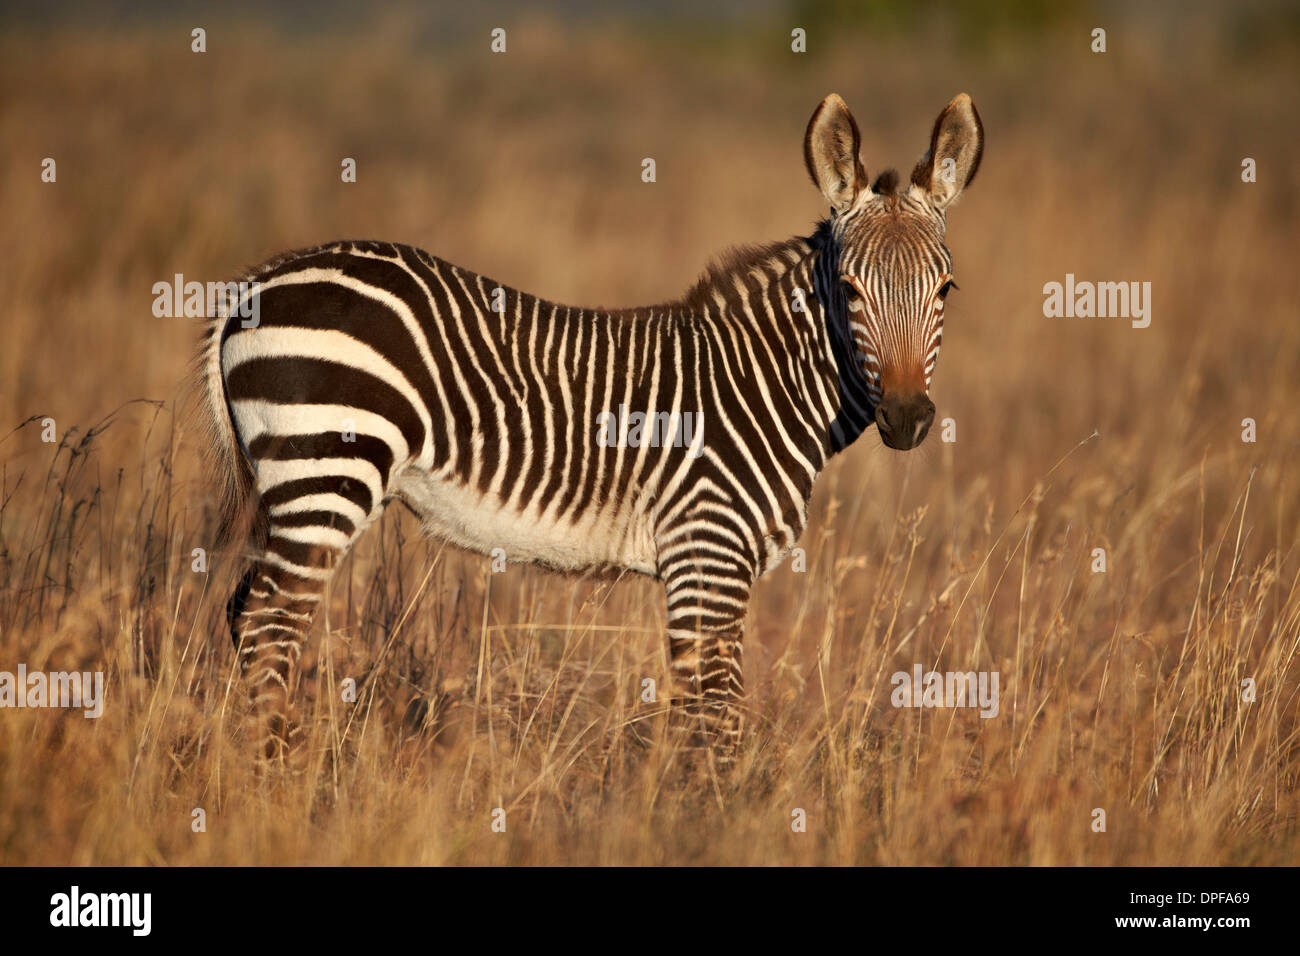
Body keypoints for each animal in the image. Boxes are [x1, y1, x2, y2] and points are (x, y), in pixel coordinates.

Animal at [202, 93, 983, 766]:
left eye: (946, 289)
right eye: (848, 290)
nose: (906, 418)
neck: (762, 382)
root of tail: (254, 284)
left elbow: (707, 708)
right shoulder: (706, 550)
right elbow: (713, 713)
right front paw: (713, 814)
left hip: (295, 488)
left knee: (246, 614)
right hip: (326, 474)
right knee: (271, 626)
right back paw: (277, 781)